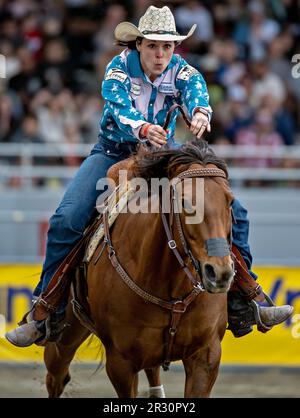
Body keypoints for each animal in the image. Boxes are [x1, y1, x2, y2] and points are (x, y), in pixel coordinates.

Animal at [44, 140, 234, 398]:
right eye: (186, 202)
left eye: (230, 201)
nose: (220, 273)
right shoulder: (120, 363)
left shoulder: (206, 355)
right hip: (64, 335)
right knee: (56, 376)